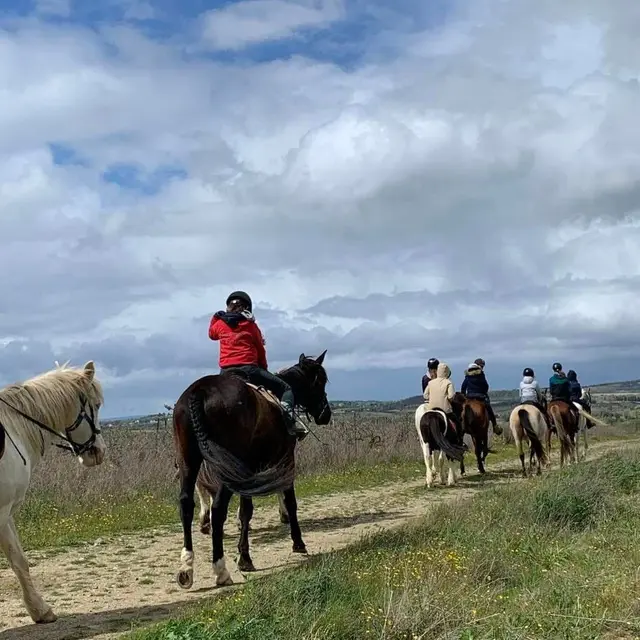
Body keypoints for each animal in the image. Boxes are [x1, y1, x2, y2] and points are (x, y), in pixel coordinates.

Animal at [0, 361, 105, 624]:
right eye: (97, 405)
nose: (98, 452)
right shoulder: (2, 511)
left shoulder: (8, 513)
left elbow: (20, 561)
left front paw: (39, 610)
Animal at [172, 351, 331, 589]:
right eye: (321, 381)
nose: (326, 414)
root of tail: (198, 392)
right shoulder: (285, 459)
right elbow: (289, 502)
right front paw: (298, 543)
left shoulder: (248, 469)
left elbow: (245, 511)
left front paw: (244, 556)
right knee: (218, 509)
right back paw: (220, 570)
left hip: (189, 461)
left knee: (186, 505)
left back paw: (186, 569)